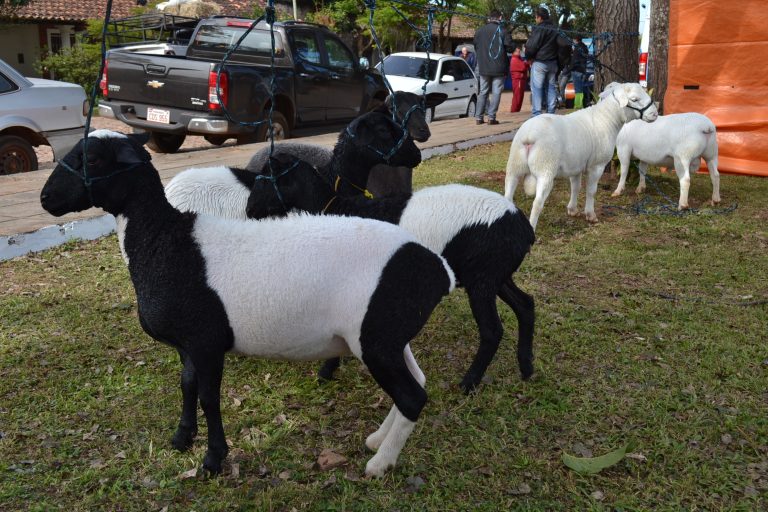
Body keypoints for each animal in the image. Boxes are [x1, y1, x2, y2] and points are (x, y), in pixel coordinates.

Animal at [40, 130, 456, 478]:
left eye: (93, 159)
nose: (45, 199)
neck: (165, 238)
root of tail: (439, 269)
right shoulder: (188, 344)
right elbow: (187, 386)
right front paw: (182, 439)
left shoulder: (206, 342)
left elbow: (209, 397)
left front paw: (212, 460)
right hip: (389, 337)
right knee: (416, 383)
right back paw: (375, 440)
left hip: (376, 340)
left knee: (413, 397)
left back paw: (379, 464)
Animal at [246, 154, 536, 394]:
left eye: (263, 179)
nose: (249, 210)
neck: (336, 207)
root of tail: (524, 230)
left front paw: (327, 370)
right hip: (496, 275)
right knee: (526, 305)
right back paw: (526, 367)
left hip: (482, 280)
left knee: (492, 331)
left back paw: (469, 383)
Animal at [504, 82, 660, 230]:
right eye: (634, 99)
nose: (655, 114)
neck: (607, 118)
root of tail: (529, 136)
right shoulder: (597, 166)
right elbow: (591, 191)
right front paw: (590, 215)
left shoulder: (575, 167)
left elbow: (576, 188)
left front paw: (572, 210)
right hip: (546, 168)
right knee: (537, 203)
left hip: (514, 166)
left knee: (508, 197)